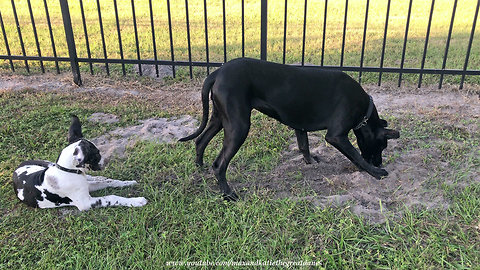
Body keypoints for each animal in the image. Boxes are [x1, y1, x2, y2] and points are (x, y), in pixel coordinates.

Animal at [12, 115, 147, 210]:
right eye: (97, 154)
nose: (107, 160)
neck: (67, 171)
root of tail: (17, 167)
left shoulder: (88, 187)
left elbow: (107, 182)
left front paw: (126, 183)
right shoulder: (86, 202)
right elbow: (111, 197)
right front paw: (137, 201)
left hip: (47, 163)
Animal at [179, 57, 398, 200]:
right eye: (382, 145)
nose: (379, 162)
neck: (364, 110)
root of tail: (218, 72)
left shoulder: (300, 127)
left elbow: (304, 146)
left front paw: (310, 161)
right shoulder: (336, 136)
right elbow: (357, 156)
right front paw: (375, 172)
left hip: (220, 118)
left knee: (200, 140)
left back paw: (199, 167)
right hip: (238, 125)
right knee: (219, 164)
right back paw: (228, 194)